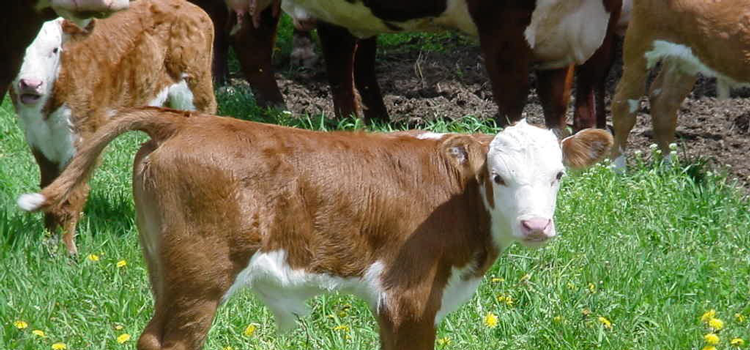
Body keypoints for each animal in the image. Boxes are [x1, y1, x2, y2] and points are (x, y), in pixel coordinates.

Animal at [20, 106, 612, 350]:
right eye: (498, 176)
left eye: (558, 175)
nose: (536, 225)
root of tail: (188, 121)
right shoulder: (408, 294)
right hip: (200, 273)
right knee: (168, 342)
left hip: (163, 267)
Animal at [612, 0, 750, 170]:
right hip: (642, 38)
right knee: (624, 103)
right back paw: (618, 169)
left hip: (685, 59)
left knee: (664, 102)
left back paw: (671, 169)